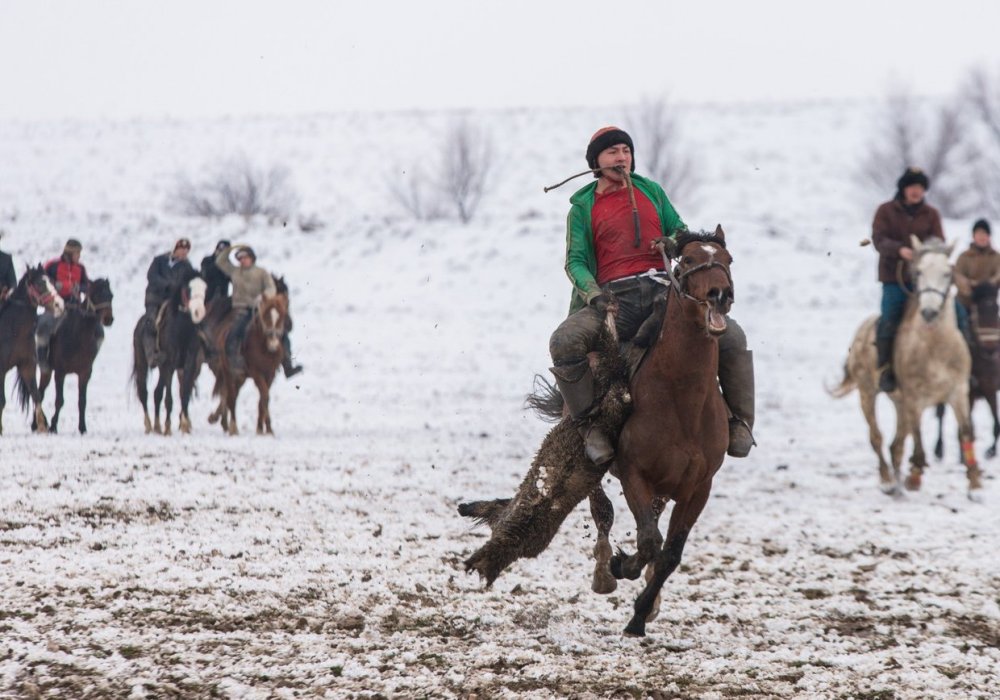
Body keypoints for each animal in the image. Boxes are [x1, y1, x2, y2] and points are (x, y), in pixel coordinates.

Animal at [0, 266, 63, 434]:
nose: (59, 305)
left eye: (51, 281)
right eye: (39, 284)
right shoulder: (1, 369)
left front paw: (42, 426)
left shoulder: (27, 365)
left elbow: (36, 395)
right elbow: (1, 400)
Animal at [36, 278, 114, 432]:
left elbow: (82, 401)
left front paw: (82, 427)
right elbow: (59, 400)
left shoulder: (85, 373)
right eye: (97, 294)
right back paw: (36, 424)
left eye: (111, 295)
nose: (109, 319)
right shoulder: (60, 372)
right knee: (39, 393)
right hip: (46, 370)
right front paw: (53, 425)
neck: (78, 336)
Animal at [206, 292, 288, 434]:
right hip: (228, 372)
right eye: (266, 315)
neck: (264, 348)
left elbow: (262, 399)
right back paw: (233, 428)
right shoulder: (256, 373)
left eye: (282, 316)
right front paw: (268, 429)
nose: (273, 342)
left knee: (231, 394)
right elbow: (265, 396)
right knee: (231, 397)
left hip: (240, 377)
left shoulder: (270, 374)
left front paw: (261, 429)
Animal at [600, 228, 736, 636]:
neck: (682, 402)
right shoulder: (634, 473)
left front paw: (641, 614)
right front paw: (620, 566)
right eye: (688, 260)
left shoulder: (698, 488)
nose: (720, 294)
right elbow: (649, 541)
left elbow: (670, 553)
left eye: (728, 259)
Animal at [832, 235, 980, 498]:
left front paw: (974, 485)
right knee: (877, 438)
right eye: (919, 271)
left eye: (947, 272)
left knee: (896, 445)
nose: (929, 312)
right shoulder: (914, 398)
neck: (936, 347)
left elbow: (966, 431)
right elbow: (919, 436)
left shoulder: (959, 392)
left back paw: (897, 484)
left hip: (899, 403)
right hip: (868, 393)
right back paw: (888, 482)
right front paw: (915, 476)